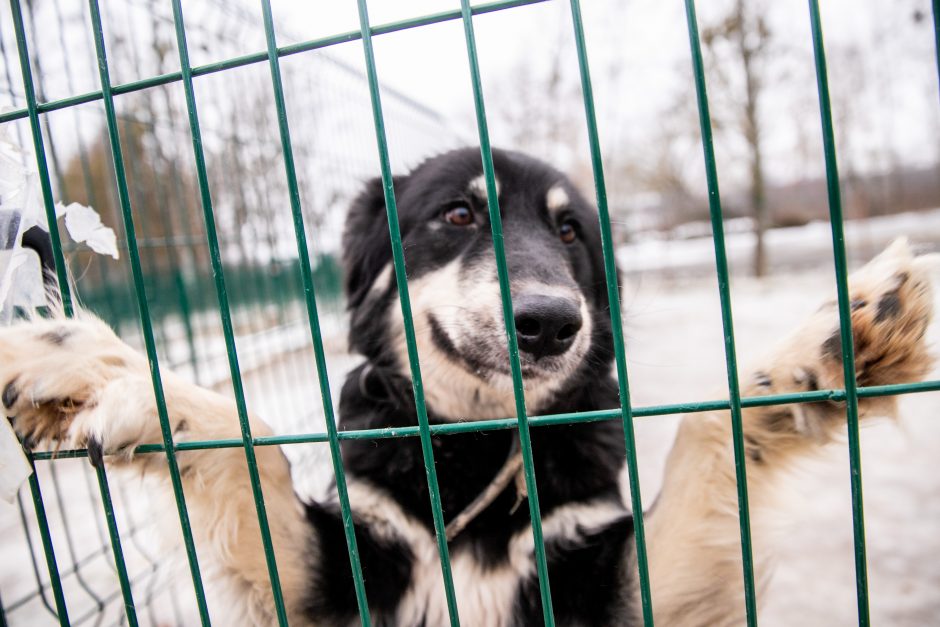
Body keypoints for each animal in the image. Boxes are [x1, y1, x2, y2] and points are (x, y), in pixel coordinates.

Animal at [3, 148, 936, 627]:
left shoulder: (611, 583)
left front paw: (825, 349)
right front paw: (85, 362)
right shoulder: (334, 582)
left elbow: (707, 428)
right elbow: (253, 445)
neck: (476, 443)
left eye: (570, 231)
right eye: (457, 215)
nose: (552, 322)